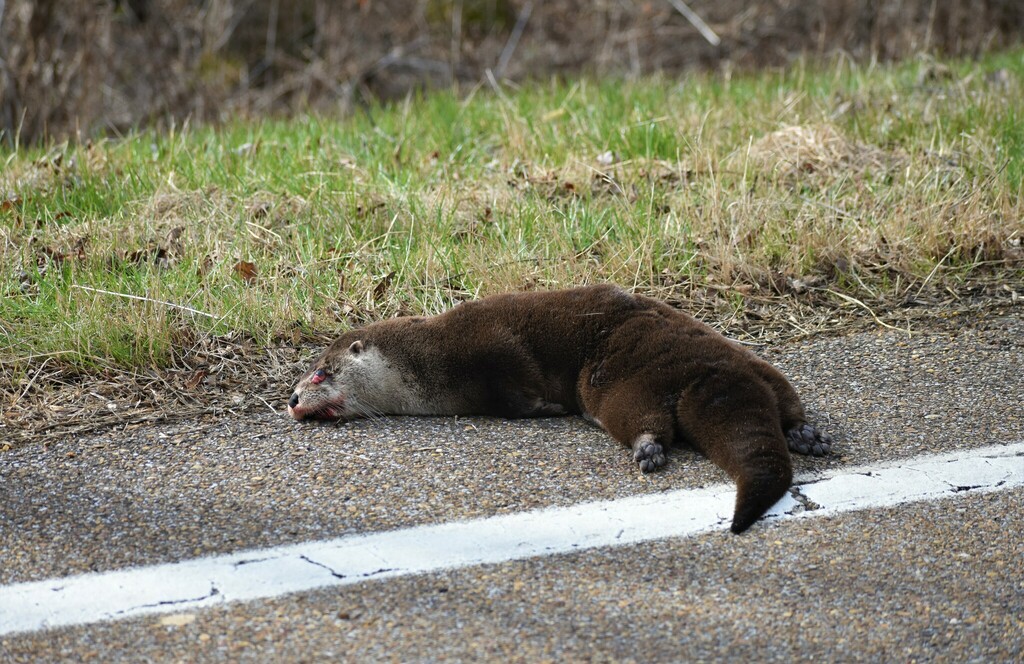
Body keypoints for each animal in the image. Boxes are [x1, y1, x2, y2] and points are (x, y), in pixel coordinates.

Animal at [288, 284, 831, 532]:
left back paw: (646, 449)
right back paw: (806, 435)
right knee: (784, 400)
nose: (291, 398)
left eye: (321, 372)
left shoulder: (491, 351)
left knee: (643, 420)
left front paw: (547, 408)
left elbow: (515, 396)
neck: (430, 358)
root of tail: (710, 374)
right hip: (759, 369)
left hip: (623, 385)